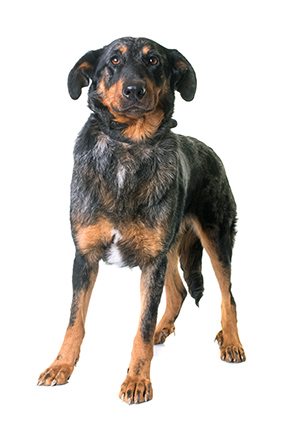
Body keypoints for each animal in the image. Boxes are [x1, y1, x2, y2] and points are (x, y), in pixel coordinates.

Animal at [37, 38, 245, 404]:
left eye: (153, 61)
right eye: (113, 61)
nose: (134, 89)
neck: (129, 146)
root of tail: (210, 150)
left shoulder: (152, 262)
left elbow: (141, 327)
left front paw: (137, 379)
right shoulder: (85, 256)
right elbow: (75, 320)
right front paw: (61, 365)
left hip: (215, 237)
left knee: (227, 295)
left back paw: (231, 342)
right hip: (171, 248)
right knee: (177, 291)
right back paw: (165, 328)